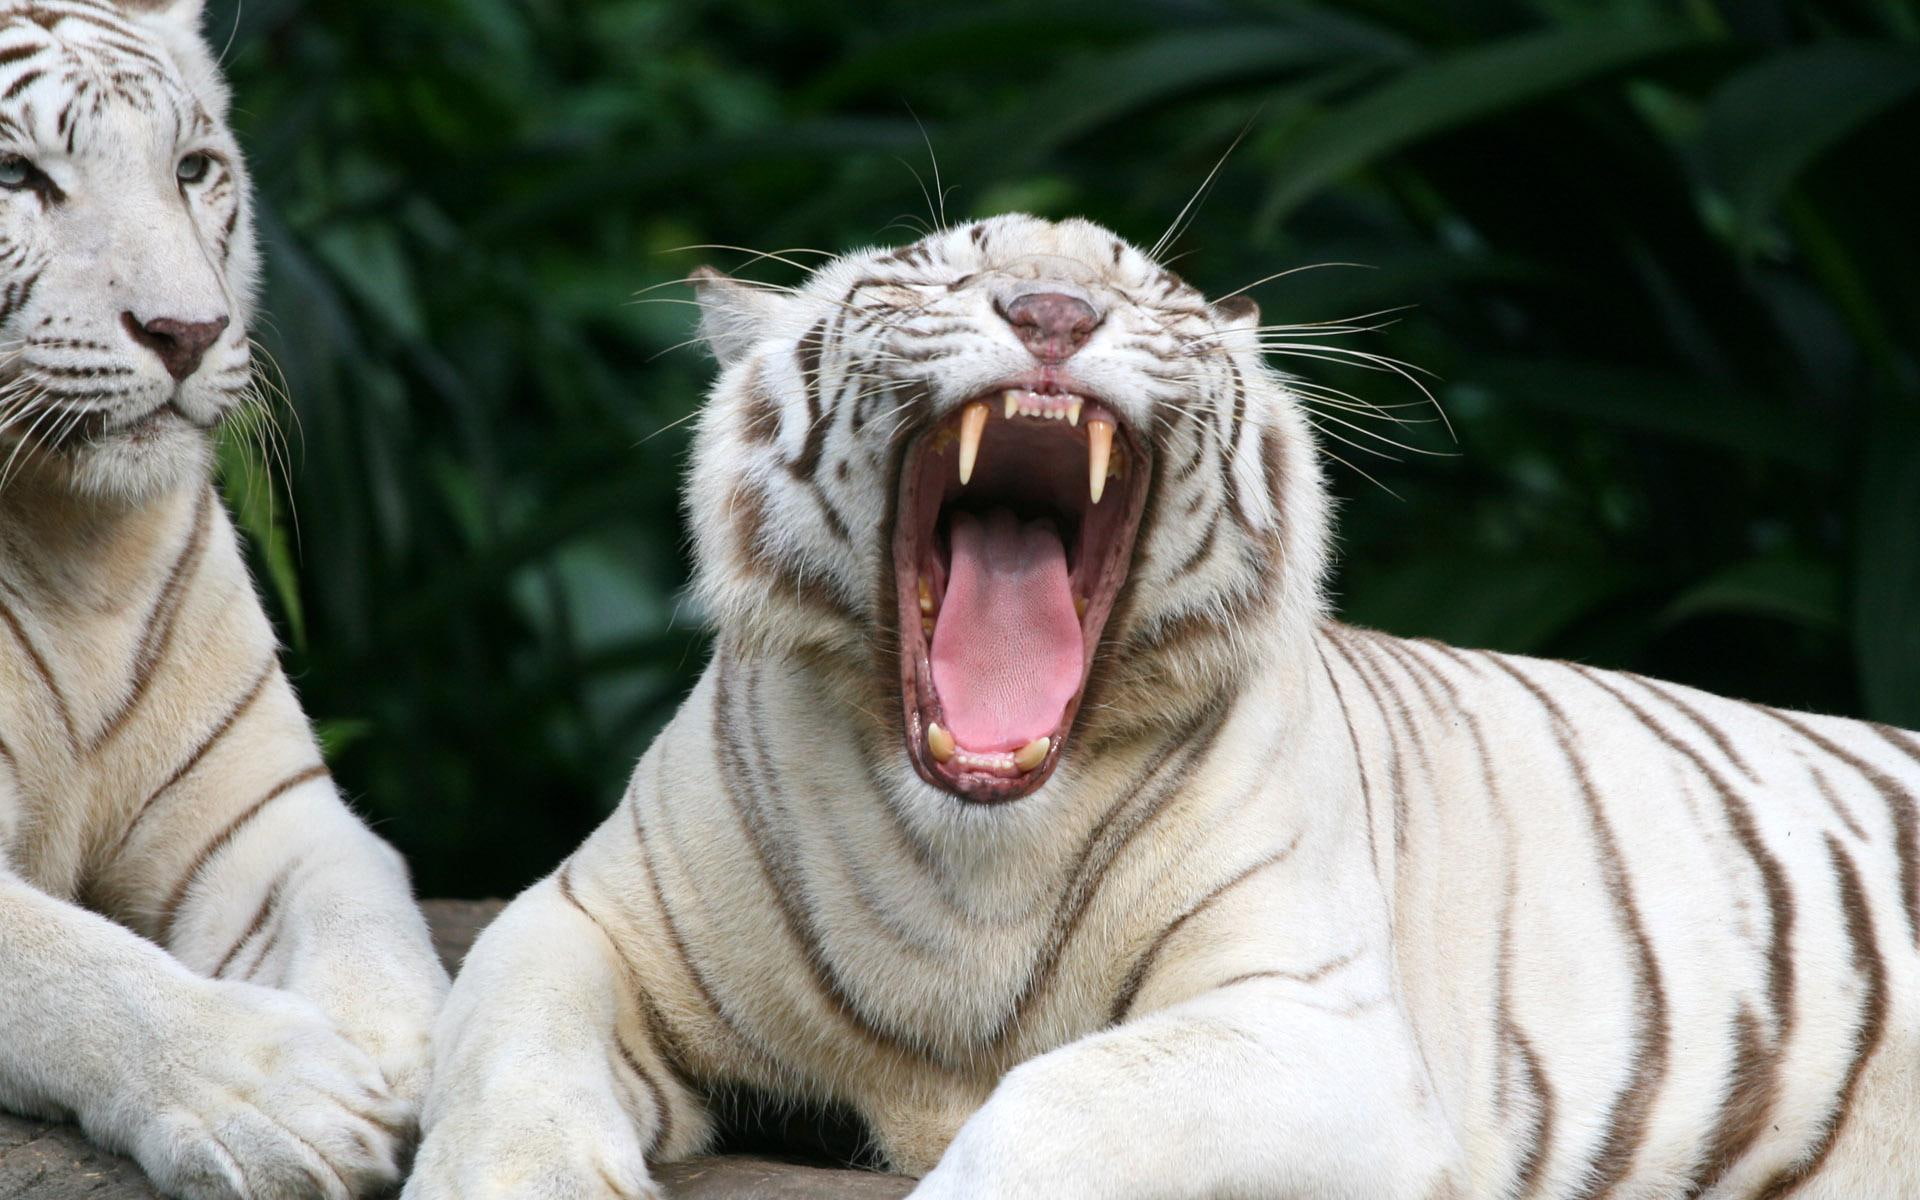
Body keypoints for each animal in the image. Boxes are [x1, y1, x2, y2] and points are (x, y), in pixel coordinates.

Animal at [0, 1, 447, 1196]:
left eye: (190, 168)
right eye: (17, 176)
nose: (187, 332)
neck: (71, 548)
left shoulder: (266, 809)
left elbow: (364, 907)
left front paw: (417, 1057)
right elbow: (79, 963)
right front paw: (274, 1099)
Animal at [405, 212, 1918, 1199]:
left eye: (1157, 293)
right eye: (946, 266)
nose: (1054, 315)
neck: (966, 853)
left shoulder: (1324, 1032)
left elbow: (1061, 1105)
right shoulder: (588, 914)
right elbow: (501, 1044)